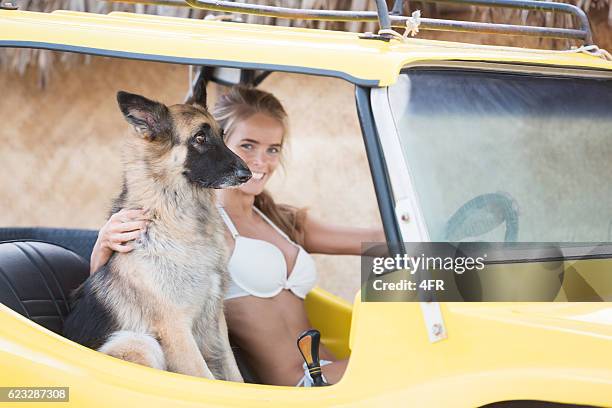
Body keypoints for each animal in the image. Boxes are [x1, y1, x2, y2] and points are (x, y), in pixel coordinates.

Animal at [64, 81, 249, 380]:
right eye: (199, 138)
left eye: (222, 136)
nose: (248, 174)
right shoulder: (176, 330)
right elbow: (204, 377)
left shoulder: (216, 321)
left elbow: (234, 376)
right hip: (138, 343)